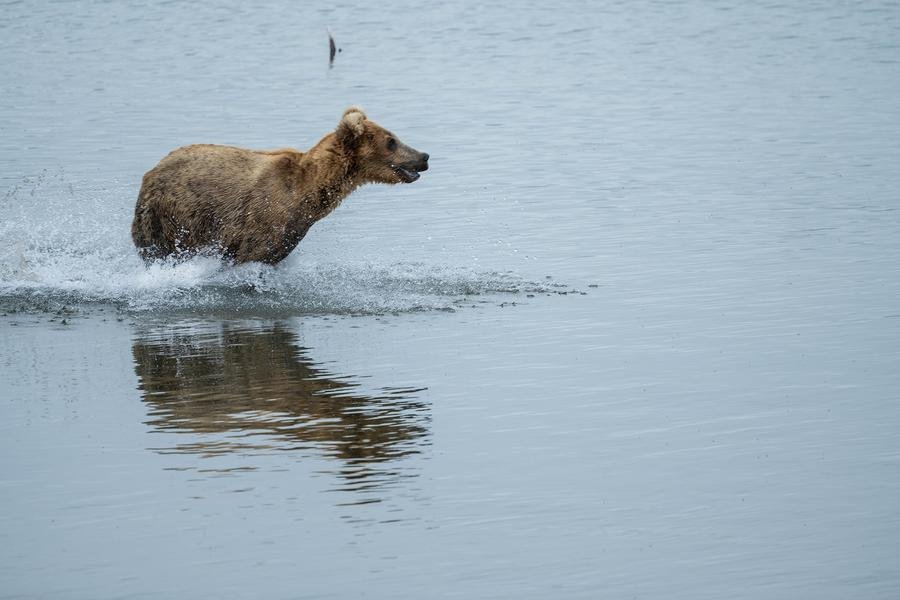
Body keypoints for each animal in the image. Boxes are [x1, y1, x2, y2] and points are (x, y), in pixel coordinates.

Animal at [131, 107, 429, 265]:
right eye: (391, 141)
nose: (424, 156)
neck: (309, 191)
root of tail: (150, 172)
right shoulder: (262, 218)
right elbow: (251, 254)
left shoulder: (291, 230)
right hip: (173, 217)